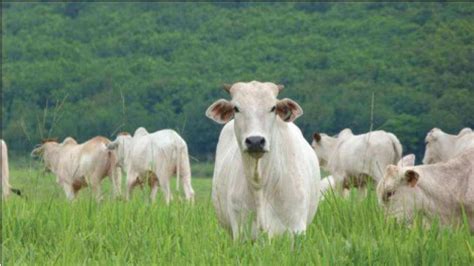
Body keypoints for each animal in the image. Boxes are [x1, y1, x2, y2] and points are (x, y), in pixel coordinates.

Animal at [206, 81, 320, 239]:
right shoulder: (240, 233)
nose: (255, 141)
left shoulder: (296, 229)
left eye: (273, 108)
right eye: (236, 108)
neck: (260, 183)